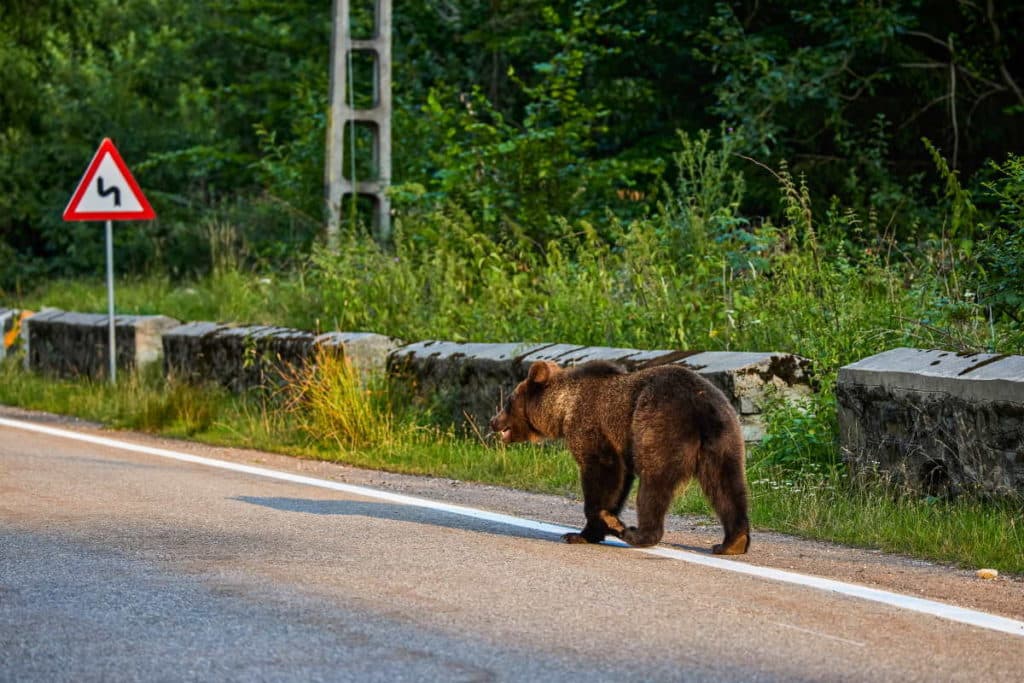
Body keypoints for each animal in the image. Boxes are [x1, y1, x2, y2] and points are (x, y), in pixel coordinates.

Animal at [489, 360, 750, 554]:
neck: (563, 409)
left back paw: (635, 533)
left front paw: (590, 528)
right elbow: (620, 482)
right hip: (725, 436)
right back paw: (732, 542)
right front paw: (591, 529)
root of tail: (699, 405)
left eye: (509, 401)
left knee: (654, 484)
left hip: (659, 427)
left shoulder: (591, 427)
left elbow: (602, 473)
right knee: (726, 486)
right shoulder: (619, 445)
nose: (493, 421)